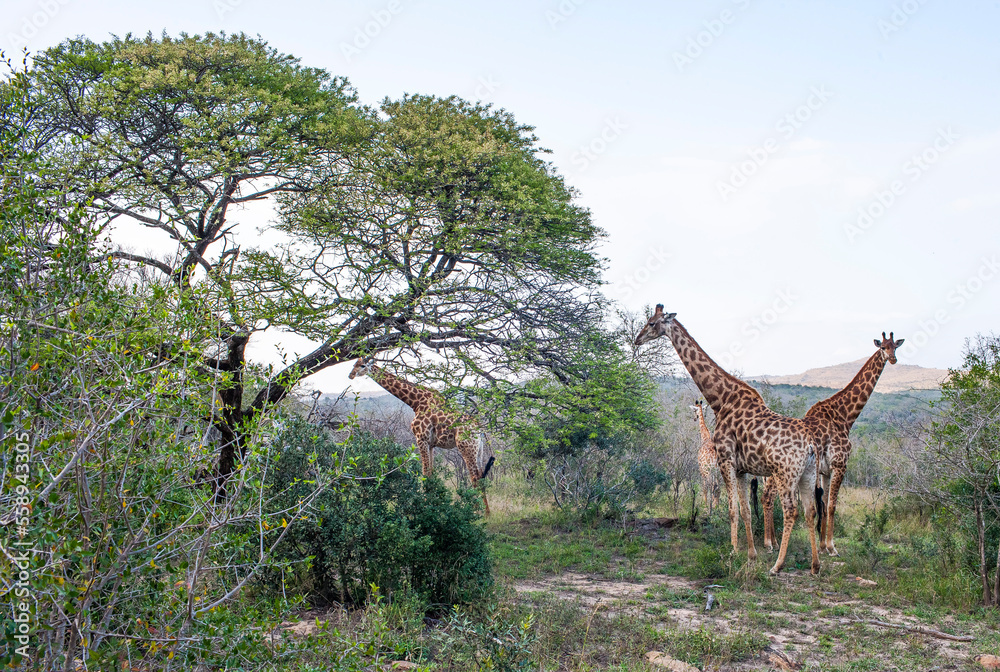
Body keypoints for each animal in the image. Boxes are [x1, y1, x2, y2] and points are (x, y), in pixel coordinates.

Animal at [348, 357, 493, 515]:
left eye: (362, 365)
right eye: (353, 364)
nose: (351, 375)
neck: (415, 402)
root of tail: (479, 429)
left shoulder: (421, 438)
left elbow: (424, 473)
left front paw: (424, 507)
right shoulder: (431, 444)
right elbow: (430, 473)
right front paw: (432, 504)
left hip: (466, 446)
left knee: (475, 476)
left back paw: (478, 512)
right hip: (477, 449)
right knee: (481, 475)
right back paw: (486, 512)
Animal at [636, 305, 822, 575]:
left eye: (651, 323)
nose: (637, 339)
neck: (721, 399)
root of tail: (809, 445)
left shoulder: (725, 459)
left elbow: (732, 509)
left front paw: (733, 551)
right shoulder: (743, 468)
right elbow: (745, 511)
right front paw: (751, 554)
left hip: (785, 474)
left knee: (791, 511)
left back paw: (777, 565)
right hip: (808, 473)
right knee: (810, 510)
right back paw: (815, 565)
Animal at [761, 332, 904, 555]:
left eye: (895, 347)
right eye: (883, 347)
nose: (893, 359)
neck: (845, 416)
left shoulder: (827, 470)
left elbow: (824, 504)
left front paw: (822, 546)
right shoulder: (840, 464)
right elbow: (832, 505)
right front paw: (831, 547)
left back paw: (772, 543)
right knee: (768, 497)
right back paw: (768, 543)